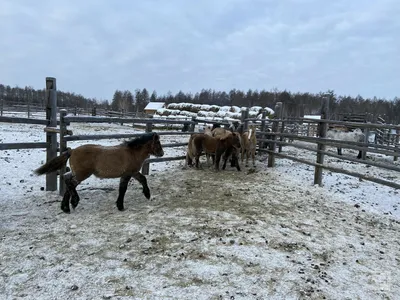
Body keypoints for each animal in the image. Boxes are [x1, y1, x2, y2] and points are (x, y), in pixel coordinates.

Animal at [34, 132, 164, 213]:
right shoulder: (128, 173)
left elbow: (142, 179)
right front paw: (121, 206)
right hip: (82, 174)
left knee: (67, 180)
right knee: (71, 183)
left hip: (77, 173)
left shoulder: (132, 173)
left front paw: (147, 195)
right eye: (157, 143)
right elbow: (123, 189)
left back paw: (65, 207)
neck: (132, 153)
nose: (162, 153)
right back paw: (74, 202)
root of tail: (72, 151)